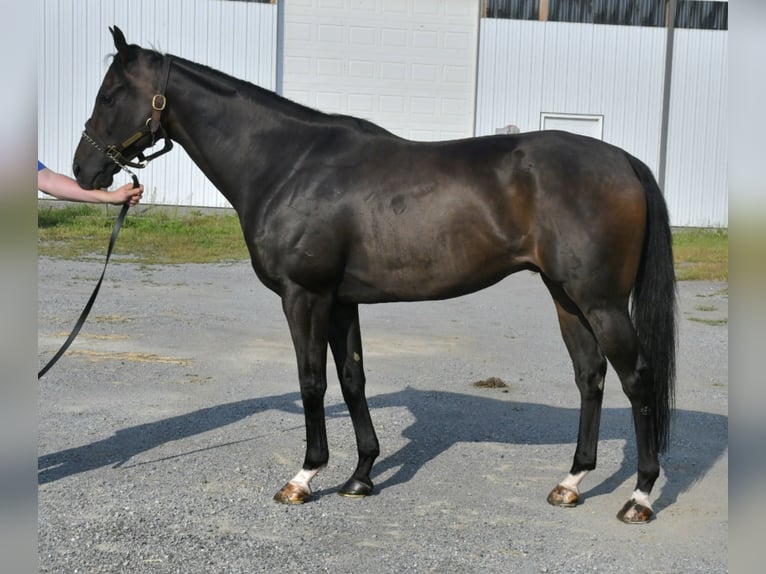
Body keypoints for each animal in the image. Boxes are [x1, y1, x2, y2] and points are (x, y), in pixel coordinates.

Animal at [72, 26, 676, 523]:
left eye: (110, 95)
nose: (83, 169)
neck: (288, 163)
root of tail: (625, 161)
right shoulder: (341, 301)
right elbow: (352, 380)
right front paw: (361, 476)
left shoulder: (305, 297)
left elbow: (312, 380)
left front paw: (303, 478)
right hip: (567, 297)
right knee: (590, 376)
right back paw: (571, 483)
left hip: (599, 301)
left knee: (636, 378)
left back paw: (640, 497)